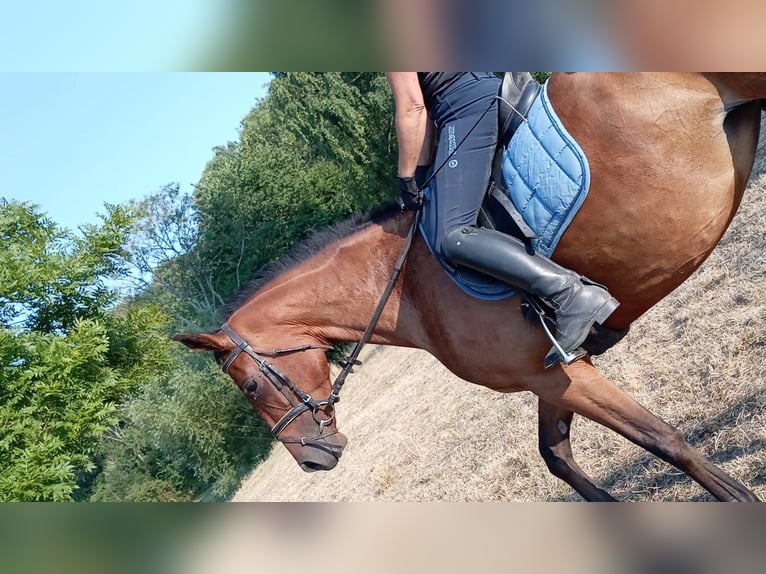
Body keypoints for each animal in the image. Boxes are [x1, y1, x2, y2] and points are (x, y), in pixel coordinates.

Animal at [176, 73, 764, 501]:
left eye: (252, 387)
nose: (312, 459)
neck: (406, 286)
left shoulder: (558, 376)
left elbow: (665, 441)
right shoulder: (553, 376)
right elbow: (558, 458)